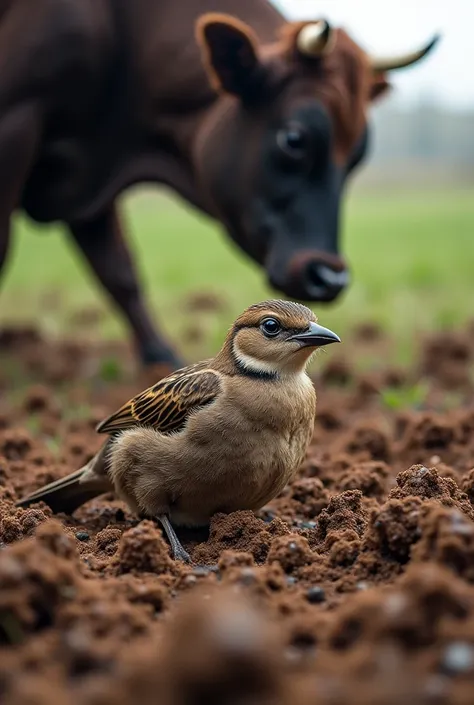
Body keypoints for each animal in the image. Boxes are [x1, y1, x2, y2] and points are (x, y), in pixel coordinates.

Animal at [0, 0, 436, 364]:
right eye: (294, 139)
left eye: (358, 154)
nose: (329, 278)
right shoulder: (17, 122)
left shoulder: (92, 183)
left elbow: (119, 271)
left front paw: (160, 356)